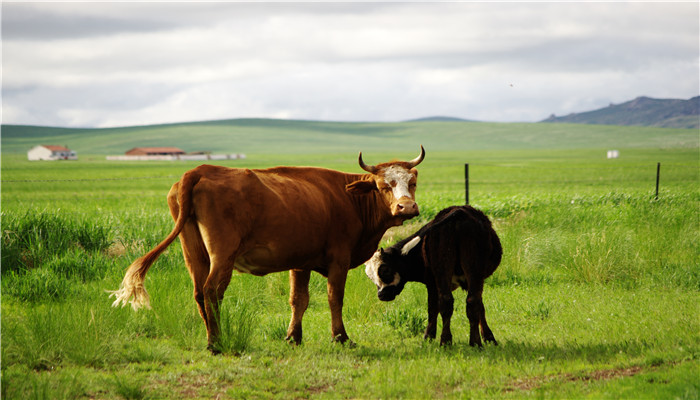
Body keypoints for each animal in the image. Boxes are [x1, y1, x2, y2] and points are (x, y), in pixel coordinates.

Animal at [112, 146, 424, 350]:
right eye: (383, 185)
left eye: (412, 182)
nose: (406, 207)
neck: (348, 198)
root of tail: (200, 170)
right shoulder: (339, 259)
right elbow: (334, 298)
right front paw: (341, 337)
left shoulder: (301, 261)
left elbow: (299, 300)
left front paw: (293, 337)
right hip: (222, 254)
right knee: (212, 291)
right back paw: (217, 342)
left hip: (194, 253)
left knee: (199, 293)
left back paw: (211, 337)